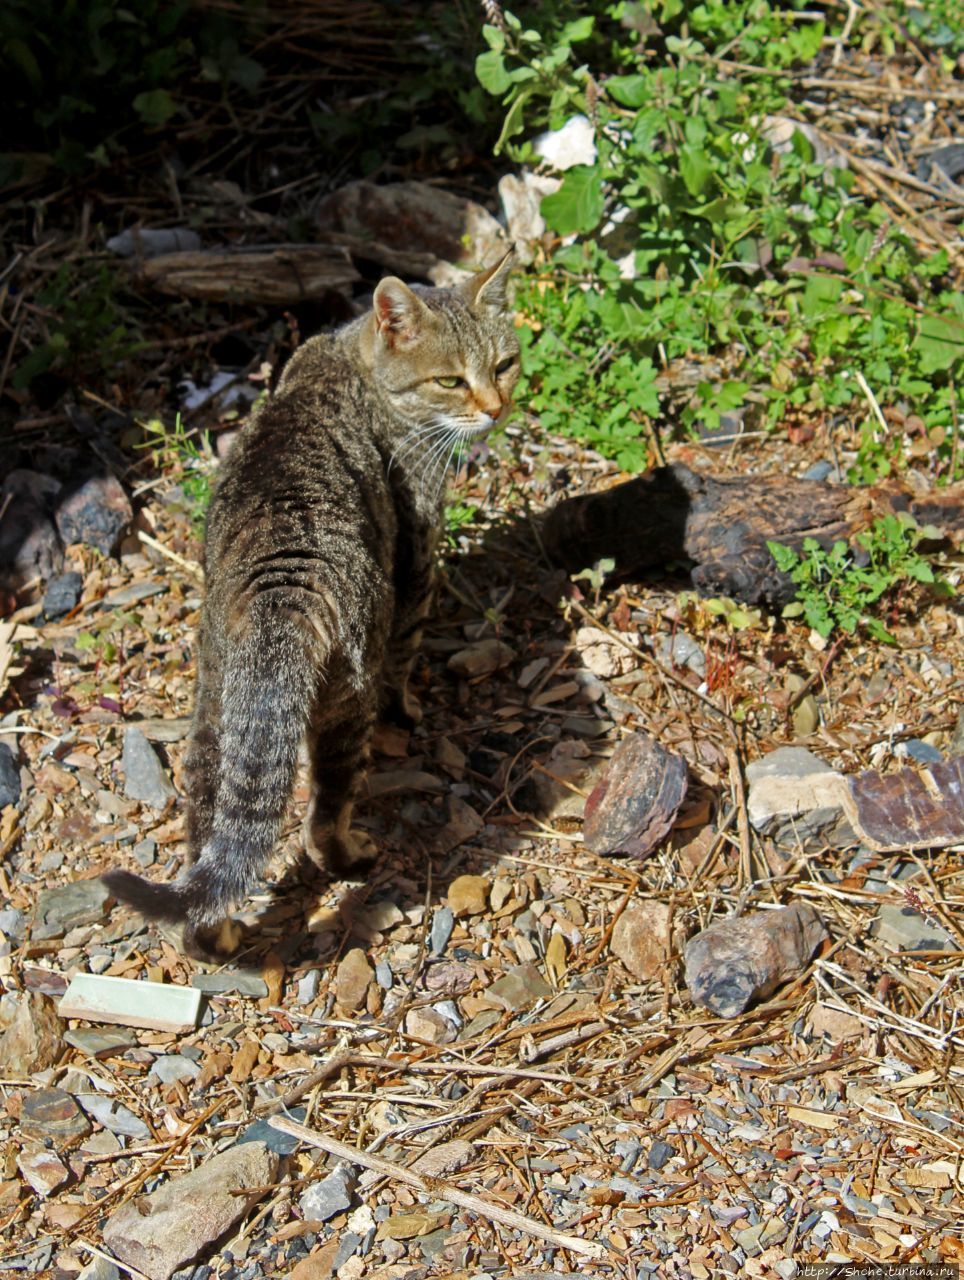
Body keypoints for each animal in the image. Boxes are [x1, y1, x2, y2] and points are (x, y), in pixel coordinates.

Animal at [101, 254, 514, 947]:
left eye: (504, 365)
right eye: (451, 381)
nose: (496, 407)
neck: (349, 360)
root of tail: (283, 592)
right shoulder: (418, 551)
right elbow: (407, 653)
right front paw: (409, 709)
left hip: (218, 705)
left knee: (210, 824)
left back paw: (209, 935)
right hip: (347, 694)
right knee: (322, 817)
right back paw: (351, 855)